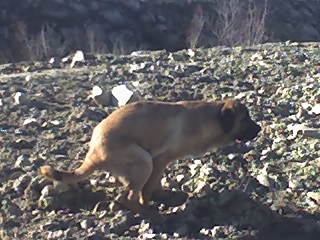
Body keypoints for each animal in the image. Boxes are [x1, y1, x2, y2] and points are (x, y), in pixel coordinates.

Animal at [38, 99, 262, 218]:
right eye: (245, 119)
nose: (260, 128)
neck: (208, 120)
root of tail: (93, 153)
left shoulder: (160, 163)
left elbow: (156, 184)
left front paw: (163, 193)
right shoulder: (159, 160)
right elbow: (148, 188)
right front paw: (150, 203)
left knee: (125, 189)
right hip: (143, 160)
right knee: (127, 197)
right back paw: (150, 214)